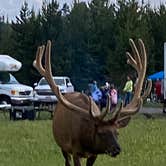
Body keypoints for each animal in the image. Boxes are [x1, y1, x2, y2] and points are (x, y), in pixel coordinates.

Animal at [33, 38, 152, 166]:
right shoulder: (75, 150)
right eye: (101, 133)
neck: (88, 143)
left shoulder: (94, 154)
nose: (117, 149)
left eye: (117, 133)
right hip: (62, 145)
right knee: (66, 161)